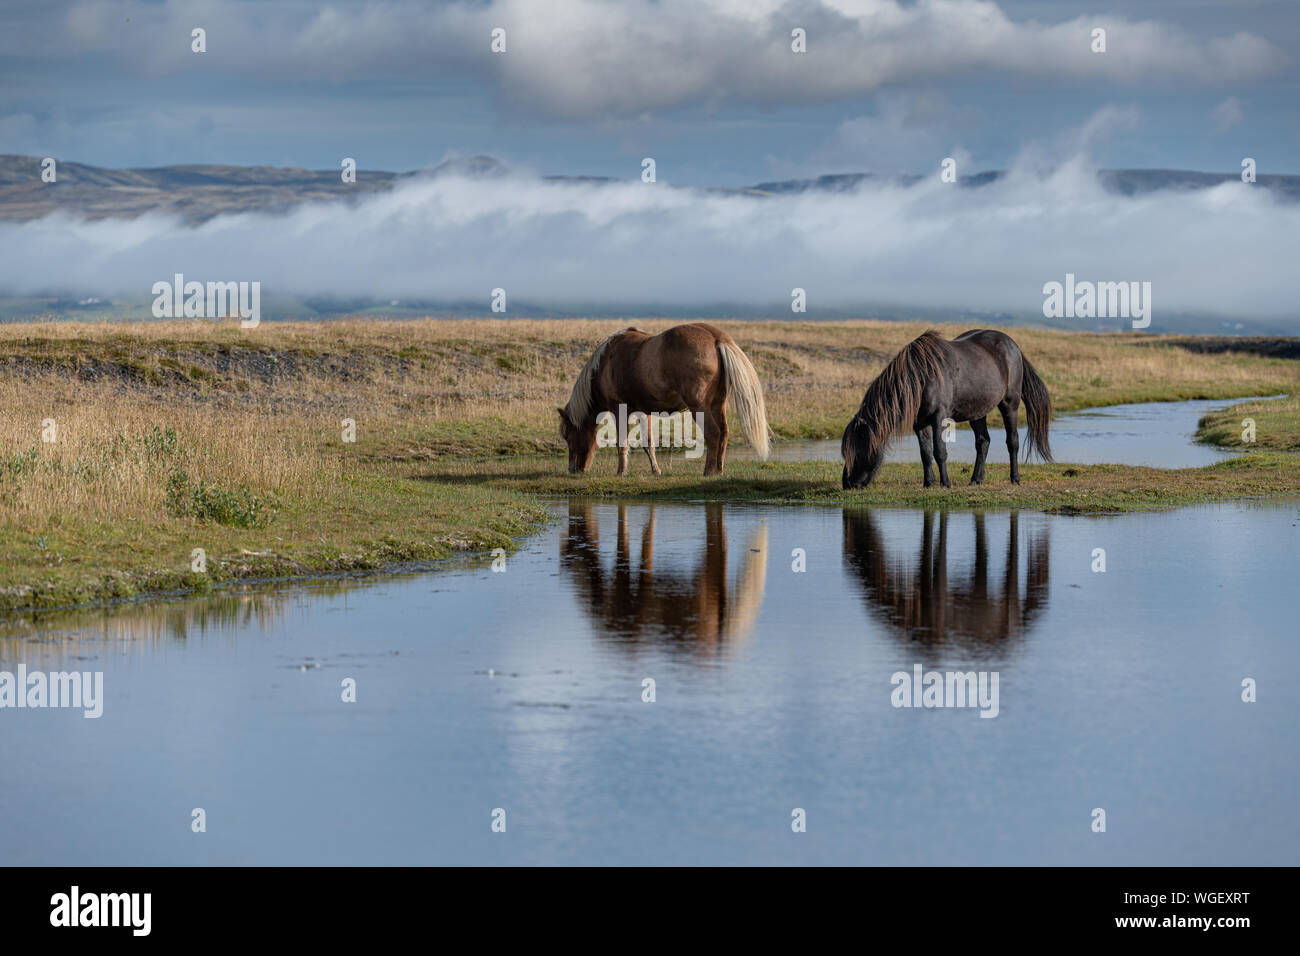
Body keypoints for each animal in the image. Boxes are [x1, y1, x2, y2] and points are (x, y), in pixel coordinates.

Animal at [561, 327, 769, 476]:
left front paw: (621, 472)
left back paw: (708, 471)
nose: (573, 469)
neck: (605, 363)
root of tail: (716, 338)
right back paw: (718, 469)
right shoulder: (644, 412)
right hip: (718, 404)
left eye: (568, 436)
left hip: (699, 407)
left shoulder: (619, 410)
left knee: (713, 433)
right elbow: (648, 443)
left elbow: (623, 443)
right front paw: (656, 470)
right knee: (724, 432)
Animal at [847, 330, 1050, 494]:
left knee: (1012, 441)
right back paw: (976, 479)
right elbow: (926, 453)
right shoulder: (919, 423)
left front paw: (945, 483)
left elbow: (940, 451)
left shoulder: (939, 418)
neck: (921, 377)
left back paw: (1015, 478)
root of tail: (1013, 346)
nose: (848, 483)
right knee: (983, 441)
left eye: (860, 449)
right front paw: (928, 483)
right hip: (977, 412)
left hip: (1010, 404)